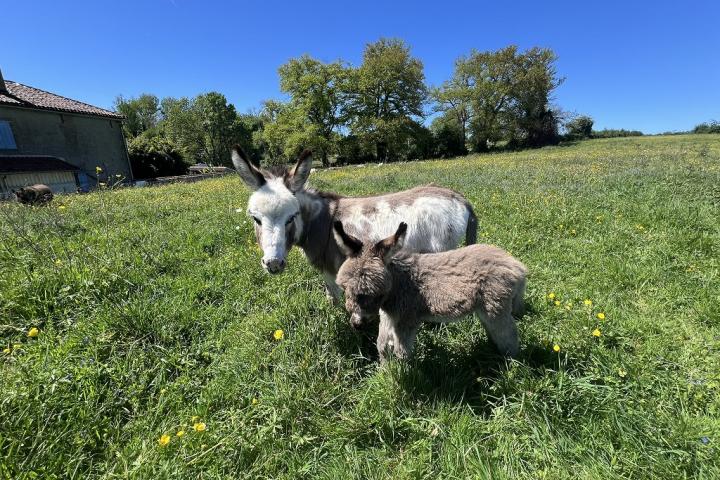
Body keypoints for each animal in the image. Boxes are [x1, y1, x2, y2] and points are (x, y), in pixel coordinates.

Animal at [334, 221, 528, 360]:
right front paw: (385, 373)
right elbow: (382, 345)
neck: (399, 283)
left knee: (509, 334)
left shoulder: (406, 318)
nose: (357, 324)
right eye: (345, 289)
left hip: (495, 306)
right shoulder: (389, 315)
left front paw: (403, 377)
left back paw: (510, 364)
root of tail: (517, 266)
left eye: (375, 292)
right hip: (485, 308)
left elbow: (401, 352)